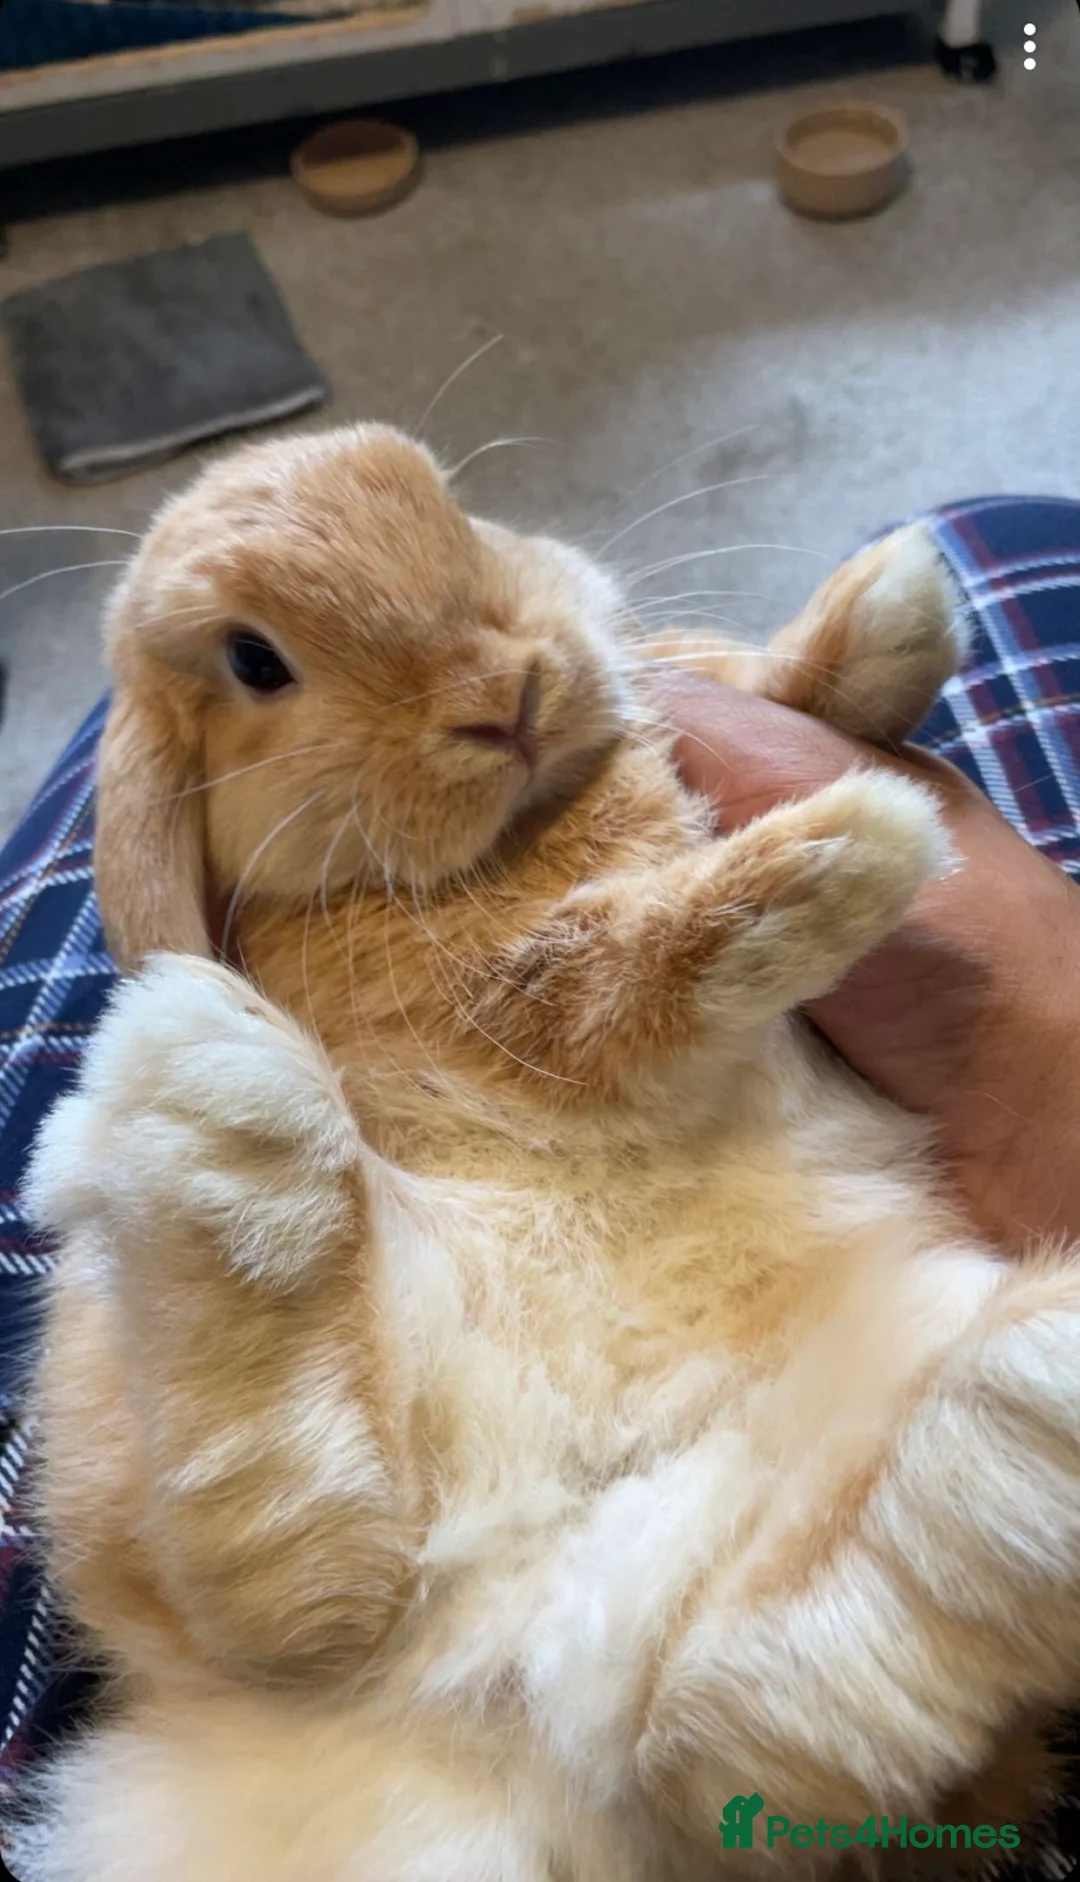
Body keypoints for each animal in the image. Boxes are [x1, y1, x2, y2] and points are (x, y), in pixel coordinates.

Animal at [12, 423, 1080, 1882]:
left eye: (454, 504)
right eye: (254, 662)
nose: (506, 692)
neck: (512, 834)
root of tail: (502, 1713)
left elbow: (739, 676)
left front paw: (888, 613)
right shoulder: (510, 1010)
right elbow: (612, 977)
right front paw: (834, 854)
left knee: (738, 1706)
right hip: (137, 1404)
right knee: (297, 1578)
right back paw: (217, 1086)